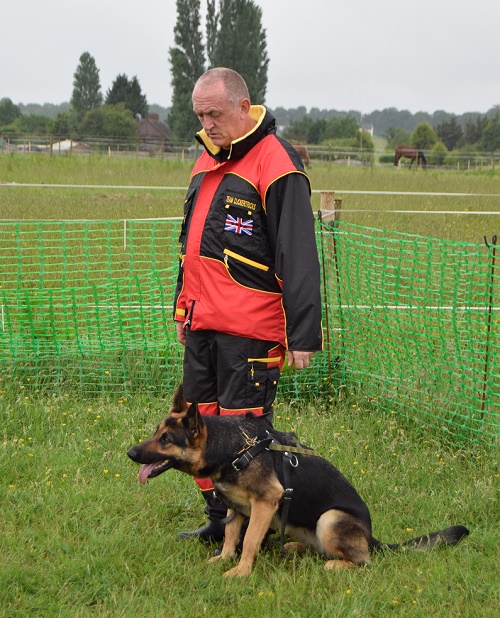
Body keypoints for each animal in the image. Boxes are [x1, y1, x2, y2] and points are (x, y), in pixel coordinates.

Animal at [127, 384, 470, 576]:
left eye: (167, 439)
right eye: (156, 432)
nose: (130, 452)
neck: (234, 447)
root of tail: (373, 538)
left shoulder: (265, 503)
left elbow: (248, 540)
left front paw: (240, 573)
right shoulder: (236, 508)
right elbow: (230, 537)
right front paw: (224, 561)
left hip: (330, 519)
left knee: (363, 560)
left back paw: (339, 564)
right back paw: (296, 548)